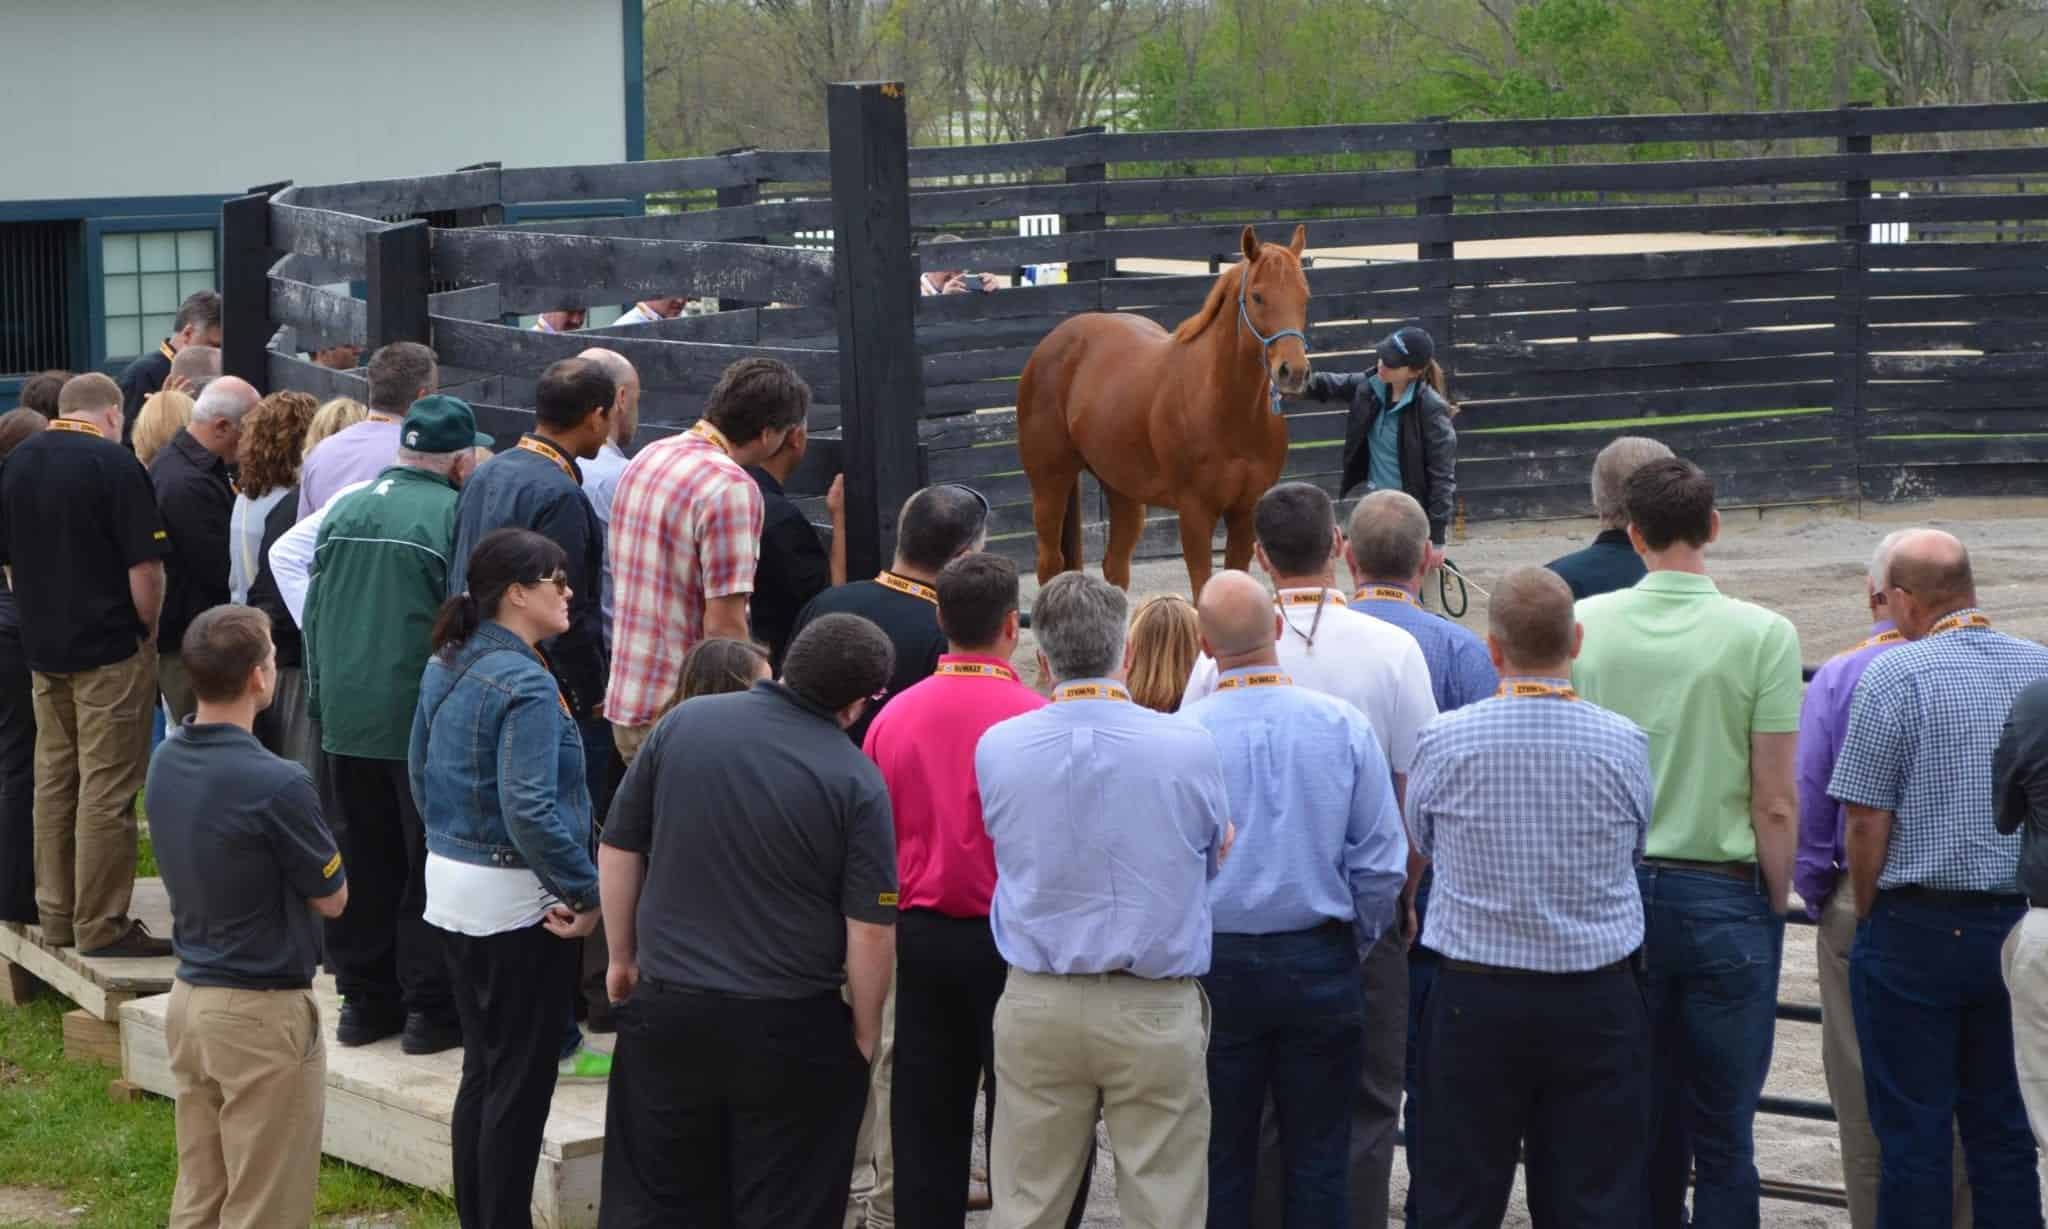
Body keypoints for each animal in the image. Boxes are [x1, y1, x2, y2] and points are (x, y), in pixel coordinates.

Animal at [1011, 229, 1310, 598]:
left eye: (1304, 296)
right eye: (1257, 296)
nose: (1293, 372)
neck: (1224, 408)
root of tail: (1055, 341)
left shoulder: (1245, 512)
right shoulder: (1195, 513)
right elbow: (1201, 588)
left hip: (1122, 489)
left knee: (1115, 566)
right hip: (1050, 484)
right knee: (1050, 564)